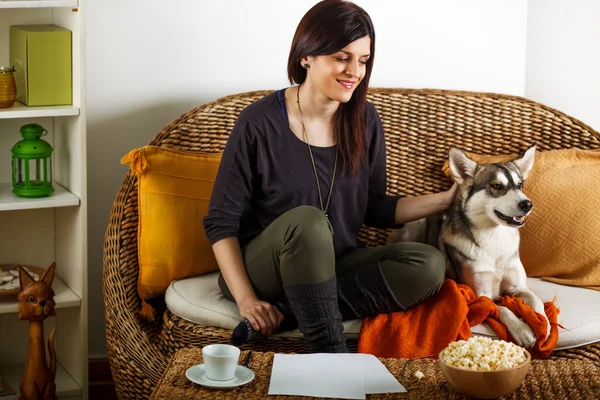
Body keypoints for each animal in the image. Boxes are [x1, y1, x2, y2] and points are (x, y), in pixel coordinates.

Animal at [390, 145, 548, 348]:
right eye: (497, 186)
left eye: (520, 185)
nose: (527, 204)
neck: (495, 236)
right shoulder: (481, 296)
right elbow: (502, 309)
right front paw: (522, 329)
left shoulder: (518, 286)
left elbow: (537, 302)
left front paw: (543, 323)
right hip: (415, 225)